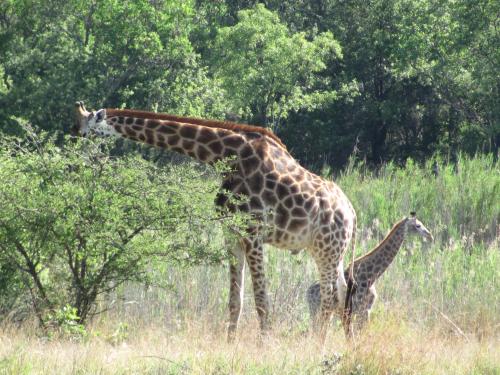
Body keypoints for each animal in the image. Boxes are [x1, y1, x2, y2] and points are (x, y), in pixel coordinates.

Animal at [73, 101, 356, 342]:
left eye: (85, 132)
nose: (75, 156)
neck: (224, 156)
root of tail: (353, 214)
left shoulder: (252, 232)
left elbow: (261, 299)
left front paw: (264, 344)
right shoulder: (231, 232)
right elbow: (235, 299)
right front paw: (230, 344)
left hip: (326, 249)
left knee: (330, 297)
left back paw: (319, 344)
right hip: (332, 252)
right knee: (343, 292)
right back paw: (348, 343)